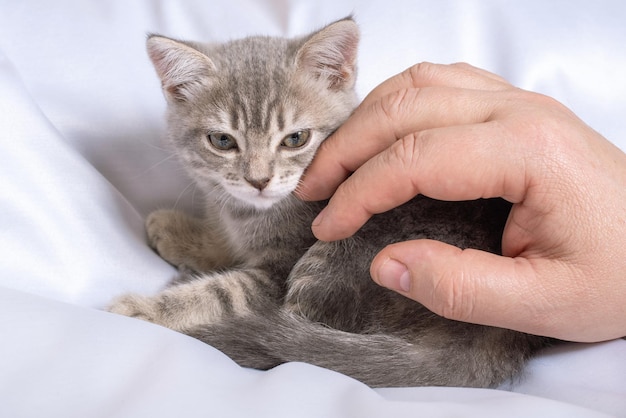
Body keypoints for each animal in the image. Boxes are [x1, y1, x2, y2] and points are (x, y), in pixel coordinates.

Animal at [109, 17, 548, 388]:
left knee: (290, 337)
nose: (258, 180)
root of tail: (496, 334)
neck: (253, 214)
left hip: (346, 248)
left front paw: (144, 309)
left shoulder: (278, 273)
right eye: (222, 141)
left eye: (295, 139)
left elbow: (225, 293)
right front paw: (181, 232)